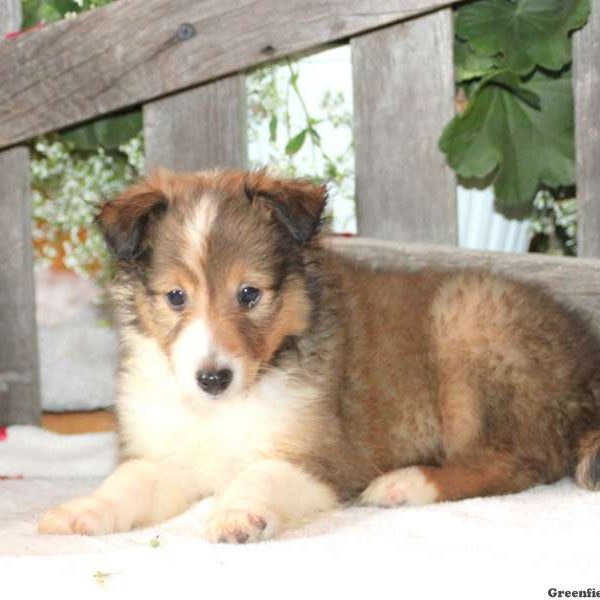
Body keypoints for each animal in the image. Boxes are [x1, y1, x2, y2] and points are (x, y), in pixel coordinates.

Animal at [38, 169, 600, 544]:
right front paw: (82, 511)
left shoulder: (322, 455)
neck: (224, 408)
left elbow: (259, 474)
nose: (213, 378)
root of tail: (587, 358)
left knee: (516, 463)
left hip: (468, 328)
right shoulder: (166, 455)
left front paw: (238, 514)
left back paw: (405, 484)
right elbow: (128, 482)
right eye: (176, 297)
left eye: (249, 294)